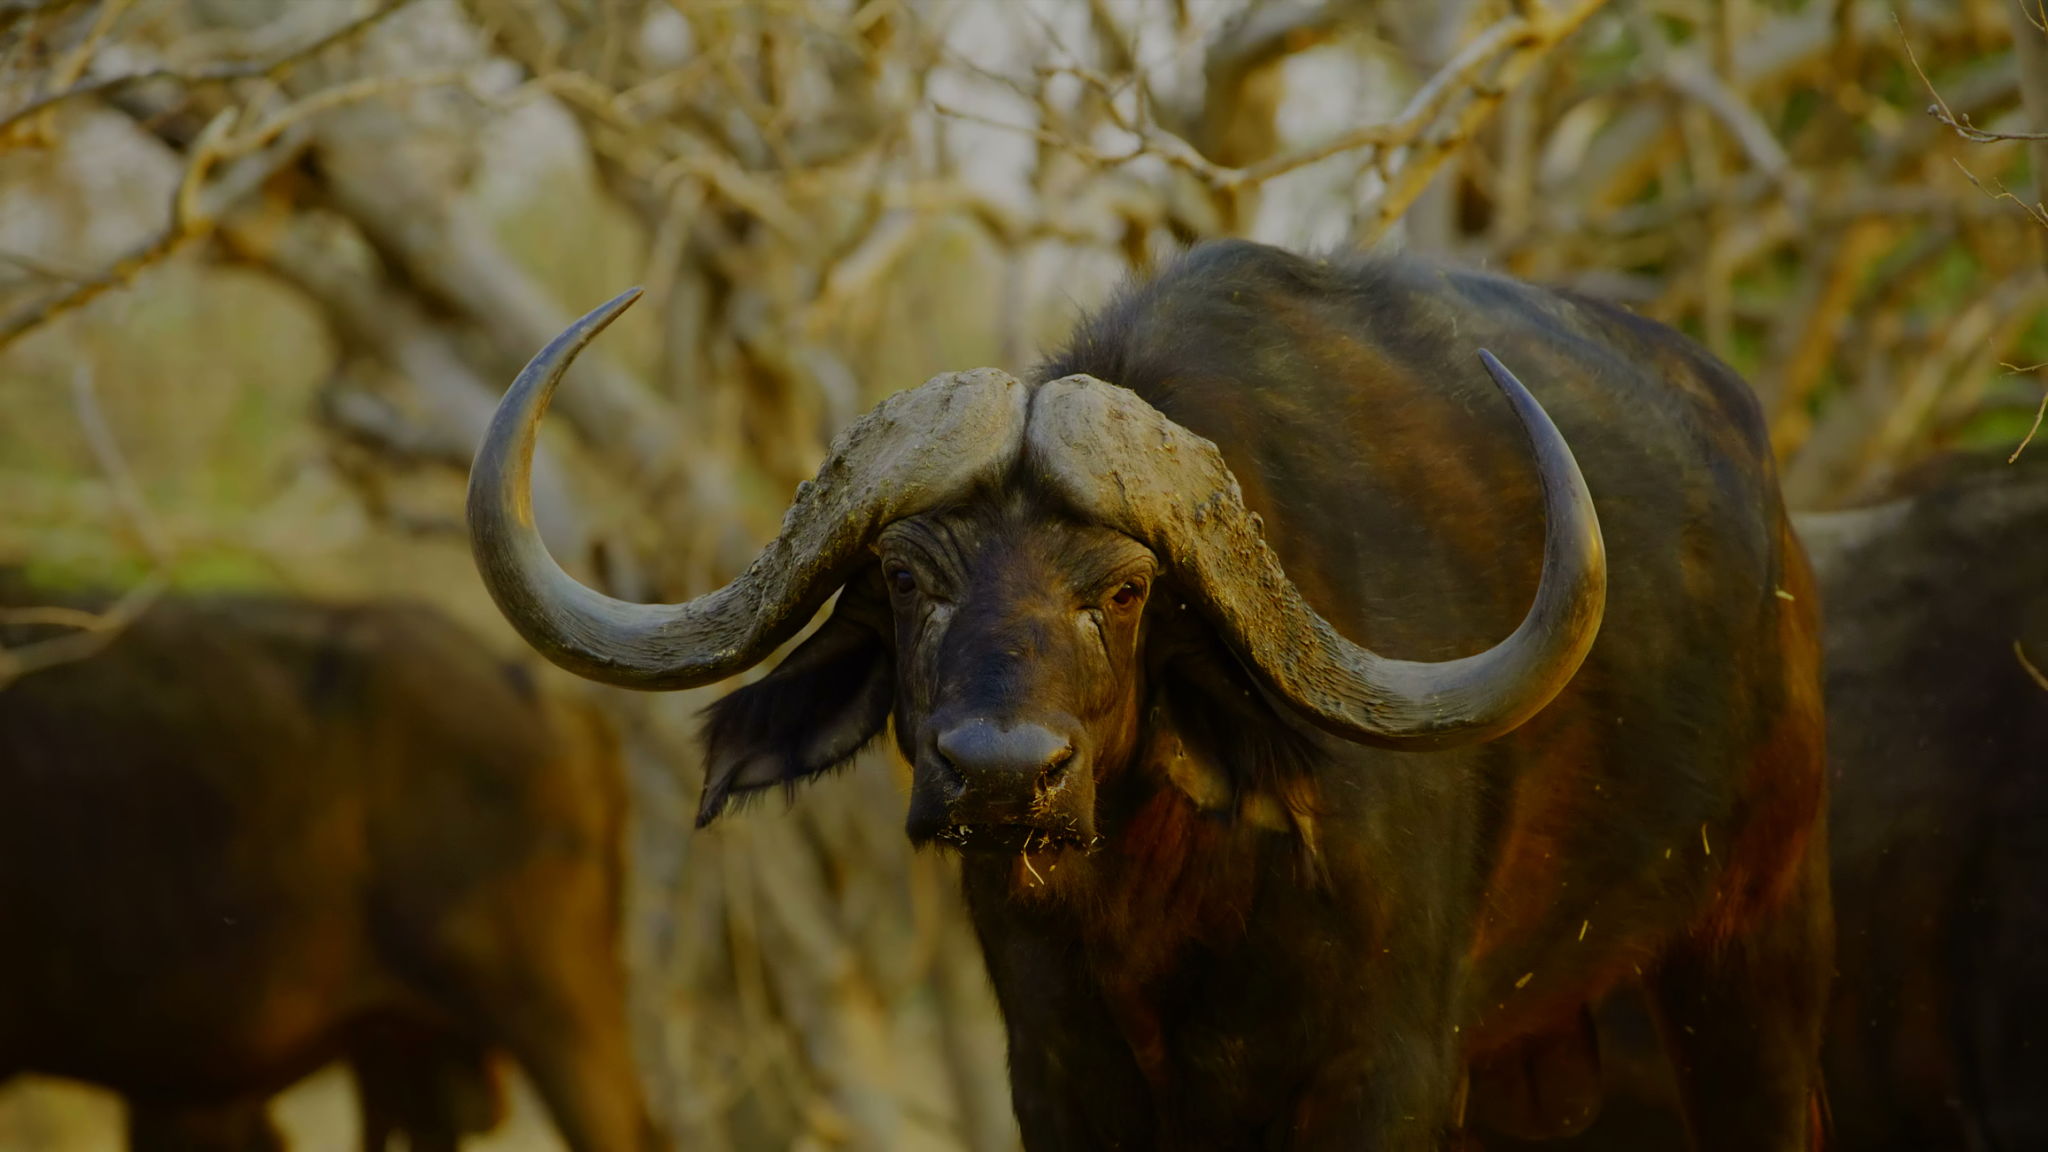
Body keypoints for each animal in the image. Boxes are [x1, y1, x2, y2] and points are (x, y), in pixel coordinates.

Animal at [468, 239, 1828, 1150]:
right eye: (906, 578)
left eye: (1122, 591)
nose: (1001, 776)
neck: (1168, 902)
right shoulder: (1060, 1071)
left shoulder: (1380, 1071)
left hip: (1747, 956)